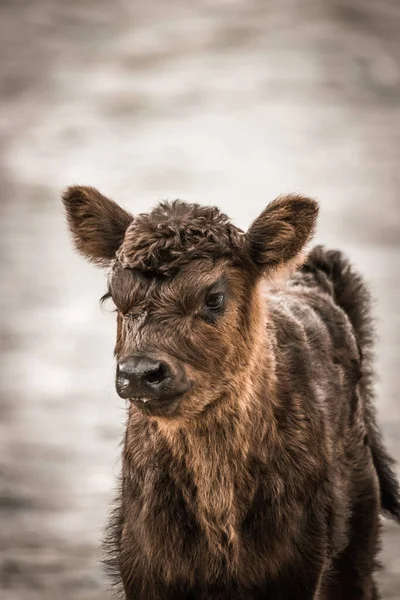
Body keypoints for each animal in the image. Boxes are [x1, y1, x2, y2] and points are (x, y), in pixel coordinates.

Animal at [62, 189, 400, 600]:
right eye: (113, 297)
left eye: (214, 298)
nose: (140, 373)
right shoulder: (145, 568)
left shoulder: (298, 568)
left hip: (359, 537)